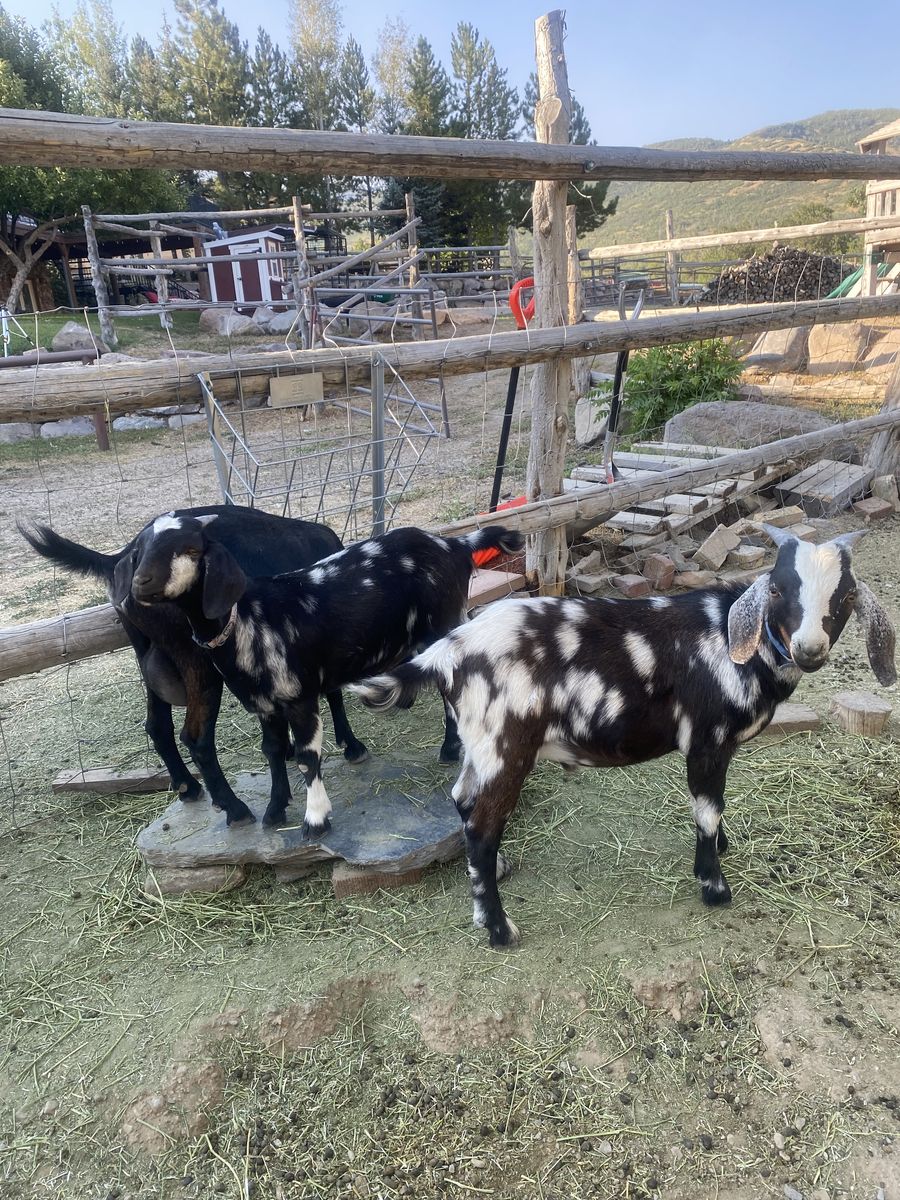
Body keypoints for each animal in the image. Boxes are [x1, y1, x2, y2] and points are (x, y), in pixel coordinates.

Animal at [19, 507, 367, 826]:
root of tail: (118, 558)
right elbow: (333, 691)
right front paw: (350, 745)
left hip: (148, 650)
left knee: (157, 725)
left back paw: (188, 787)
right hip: (197, 659)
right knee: (196, 738)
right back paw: (235, 808)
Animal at [121, 515, 524, 832]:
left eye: (191, 550)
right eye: (140, 549)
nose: (140, 582)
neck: (249, 620)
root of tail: (453, 544)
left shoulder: (298, 696)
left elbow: (306, 757)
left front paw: (315, 819)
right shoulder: (265, 704)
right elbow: (273, 751)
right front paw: (274, 810)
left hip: (445, 623)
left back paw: (452, 748)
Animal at [353, 528, 896, 947]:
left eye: (846, 596)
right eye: (779, 590)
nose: (809, 649)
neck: (733, 641)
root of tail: (448, 651)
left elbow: (715, 808)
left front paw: (722, 849)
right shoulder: (706, 739)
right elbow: (707, 808)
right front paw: (714, 886)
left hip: (479, 744)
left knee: (463, 802)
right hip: (505, 746)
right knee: (483, 827)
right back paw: (499, 930)